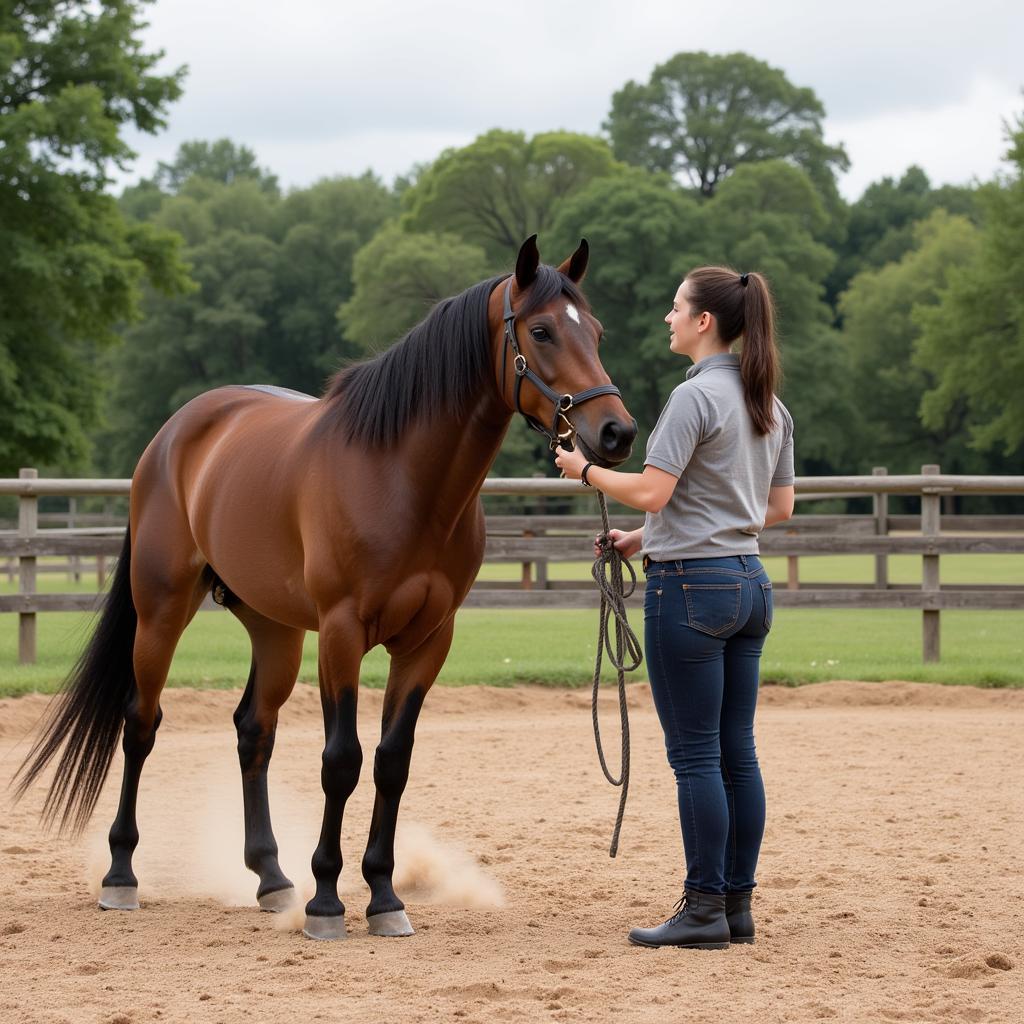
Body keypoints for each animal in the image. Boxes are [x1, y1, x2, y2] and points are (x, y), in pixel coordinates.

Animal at [16, 235, 634, 937]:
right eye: (541, 330)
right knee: (141, 724)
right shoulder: (341, 633)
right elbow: (342, 760)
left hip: (276, 631)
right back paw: (122, 875)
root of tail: (176, 434)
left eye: (597, 332)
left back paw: (271, 878)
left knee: (253, 731)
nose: (616, 432)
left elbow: (392, 761)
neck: (402, 478)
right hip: (162, 613)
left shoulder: (429, 642)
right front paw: (328, 901)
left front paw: (384, 897)